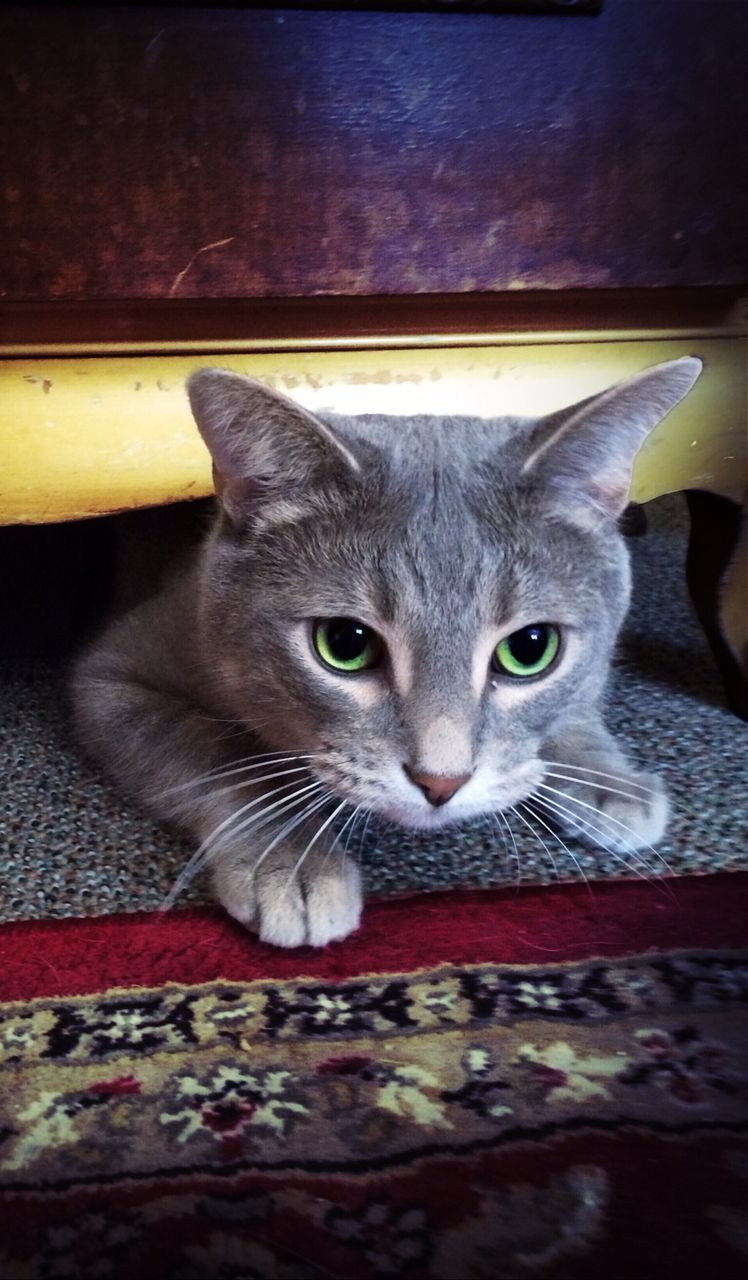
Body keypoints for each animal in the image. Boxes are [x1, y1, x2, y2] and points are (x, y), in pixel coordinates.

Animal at [70, 355, 701, 947]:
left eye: (530, 648)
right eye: (344, 645)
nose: (441, 782)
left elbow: (582, 697)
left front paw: (608, 778)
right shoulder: (111, 678)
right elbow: (219, 753)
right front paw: (295, 861)